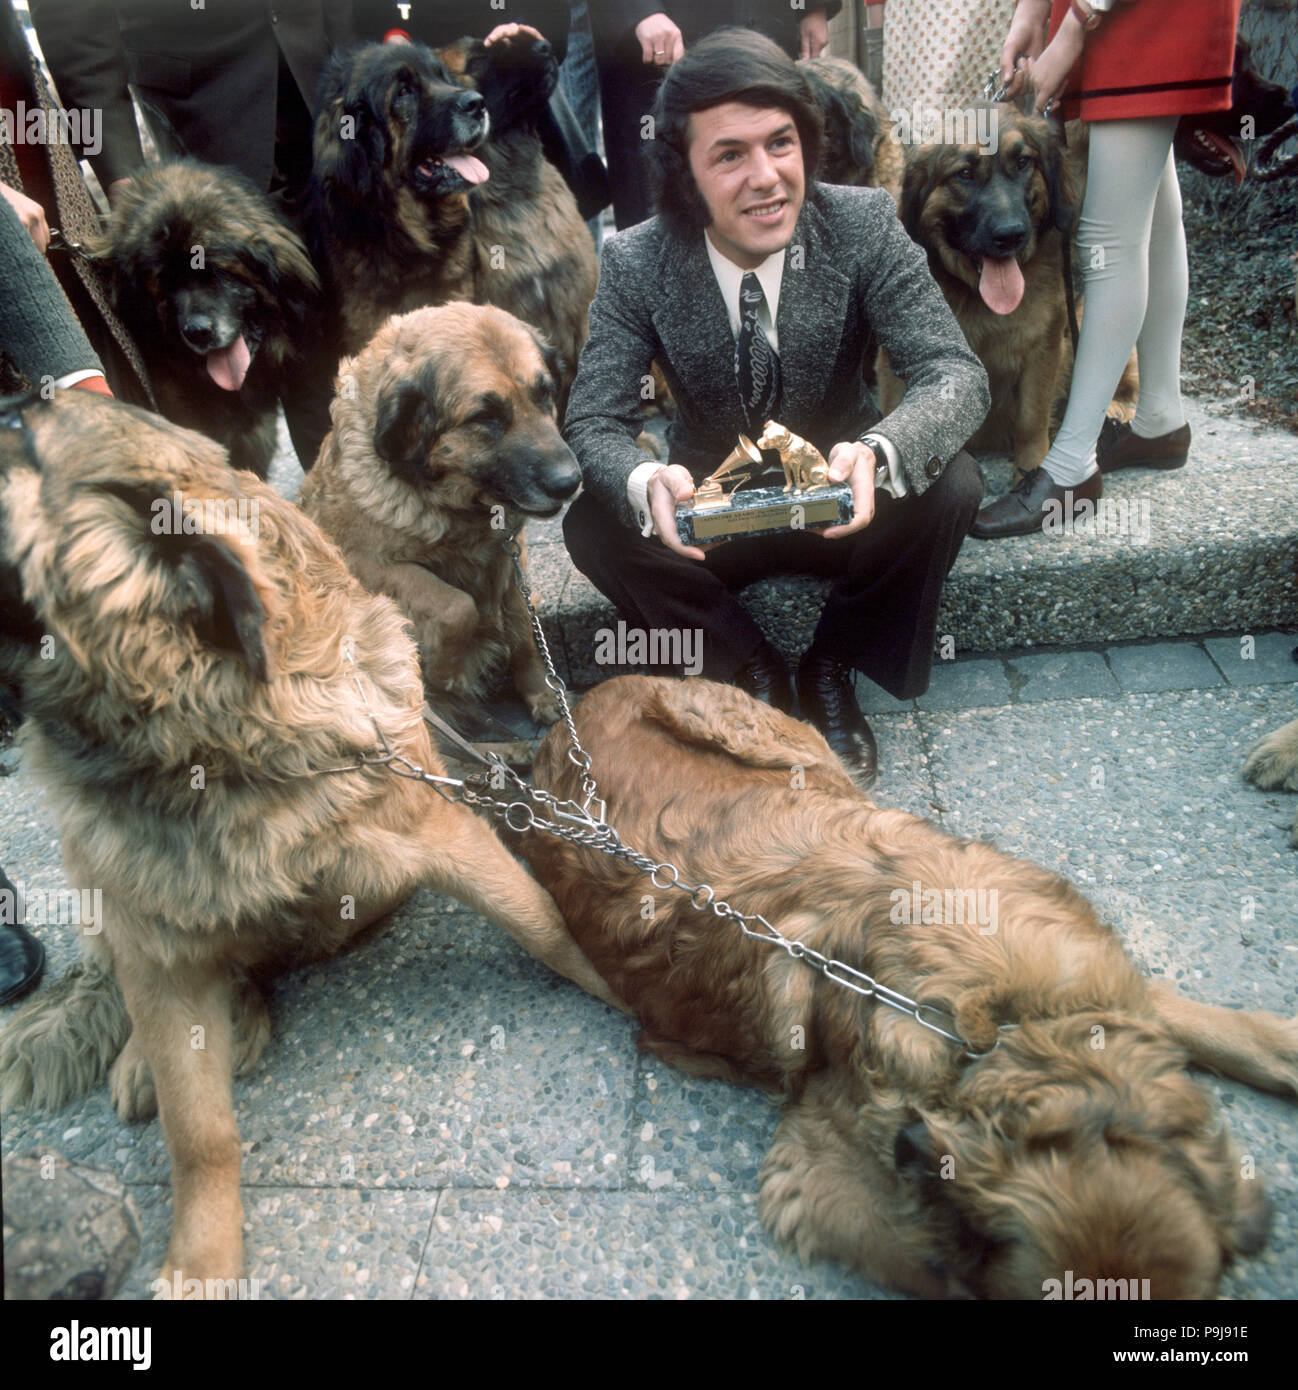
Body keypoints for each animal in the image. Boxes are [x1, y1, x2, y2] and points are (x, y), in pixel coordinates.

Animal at [0, 389, 619, 1289]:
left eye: (18, 428)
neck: (203, 738)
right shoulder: (153, 940)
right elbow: (199, 1133)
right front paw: (202, 1259)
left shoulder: (432, 829)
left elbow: (546, 924)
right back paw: (152, 1052)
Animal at [297, 304, 580, 728]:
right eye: (485, 416)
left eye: (544, 392)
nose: (570, 481)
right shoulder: (366, 566)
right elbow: (455, 606)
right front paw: (449, 672)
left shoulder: (510, 558)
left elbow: (523, 626)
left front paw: (542, 693)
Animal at [878, 107, 1134, 483]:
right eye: (965, 173)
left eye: (1023, 162)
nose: (1011, 234)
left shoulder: (1044, 346)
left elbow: (1031, 421)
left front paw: (1030, 473)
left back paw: (1116, 410)